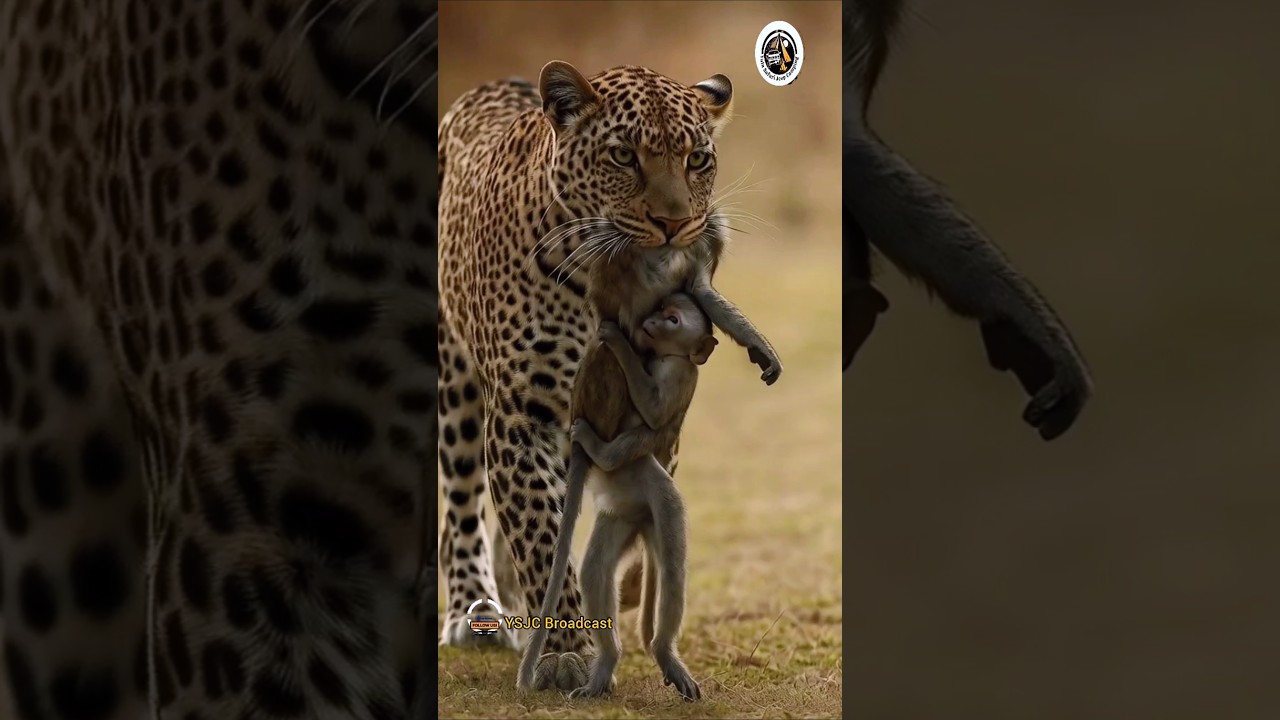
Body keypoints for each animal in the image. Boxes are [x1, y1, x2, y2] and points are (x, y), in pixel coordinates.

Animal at [518, 294, 718, 701]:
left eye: (673, 319)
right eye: (662, 309)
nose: (652, 322)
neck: (668, 355)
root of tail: (644, 521)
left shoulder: (677, 372)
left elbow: (655, 412)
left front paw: (618, 343)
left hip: (662, 502)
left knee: (671, 570)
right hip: (623, 515)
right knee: (595, 570)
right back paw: (605, 665)